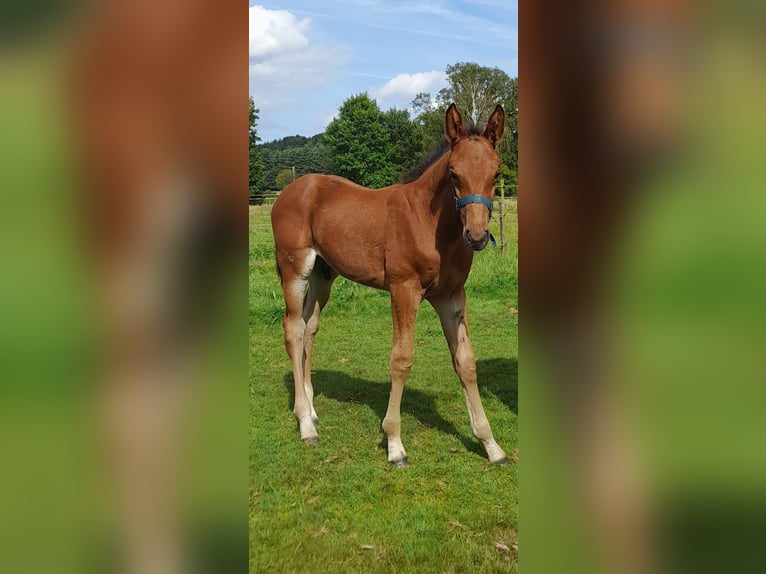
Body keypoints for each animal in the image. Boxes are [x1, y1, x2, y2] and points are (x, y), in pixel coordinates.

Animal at [272, 104, 510, 468]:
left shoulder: (451, 296)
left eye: (496, 173)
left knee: (309, 327)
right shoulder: (404, 290)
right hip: (294, 270)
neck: (428, 221)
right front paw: (395, 444)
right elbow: (401, 359)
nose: (477, 236)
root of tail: (290, 190)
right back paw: (305, 425)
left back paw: (311, 411)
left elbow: (466, 362)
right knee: (293, 329)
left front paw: (491, 445)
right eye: (453, 173)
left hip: (322, 275)